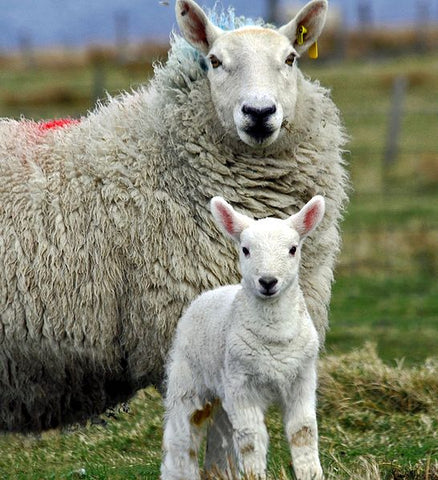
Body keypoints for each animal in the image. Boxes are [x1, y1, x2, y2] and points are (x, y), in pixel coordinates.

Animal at [161, 194, 326, 480]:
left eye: (293, 249)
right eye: (246, 249)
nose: (268, 281)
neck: (275, 338)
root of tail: (210, 292)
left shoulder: (302, 378)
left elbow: (303, 431)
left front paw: (311, 473)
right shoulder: (242, 384)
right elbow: (252, 439)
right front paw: (255, 474)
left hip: (223, 389)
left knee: (222, 433)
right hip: (187, 379)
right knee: (182, 436)